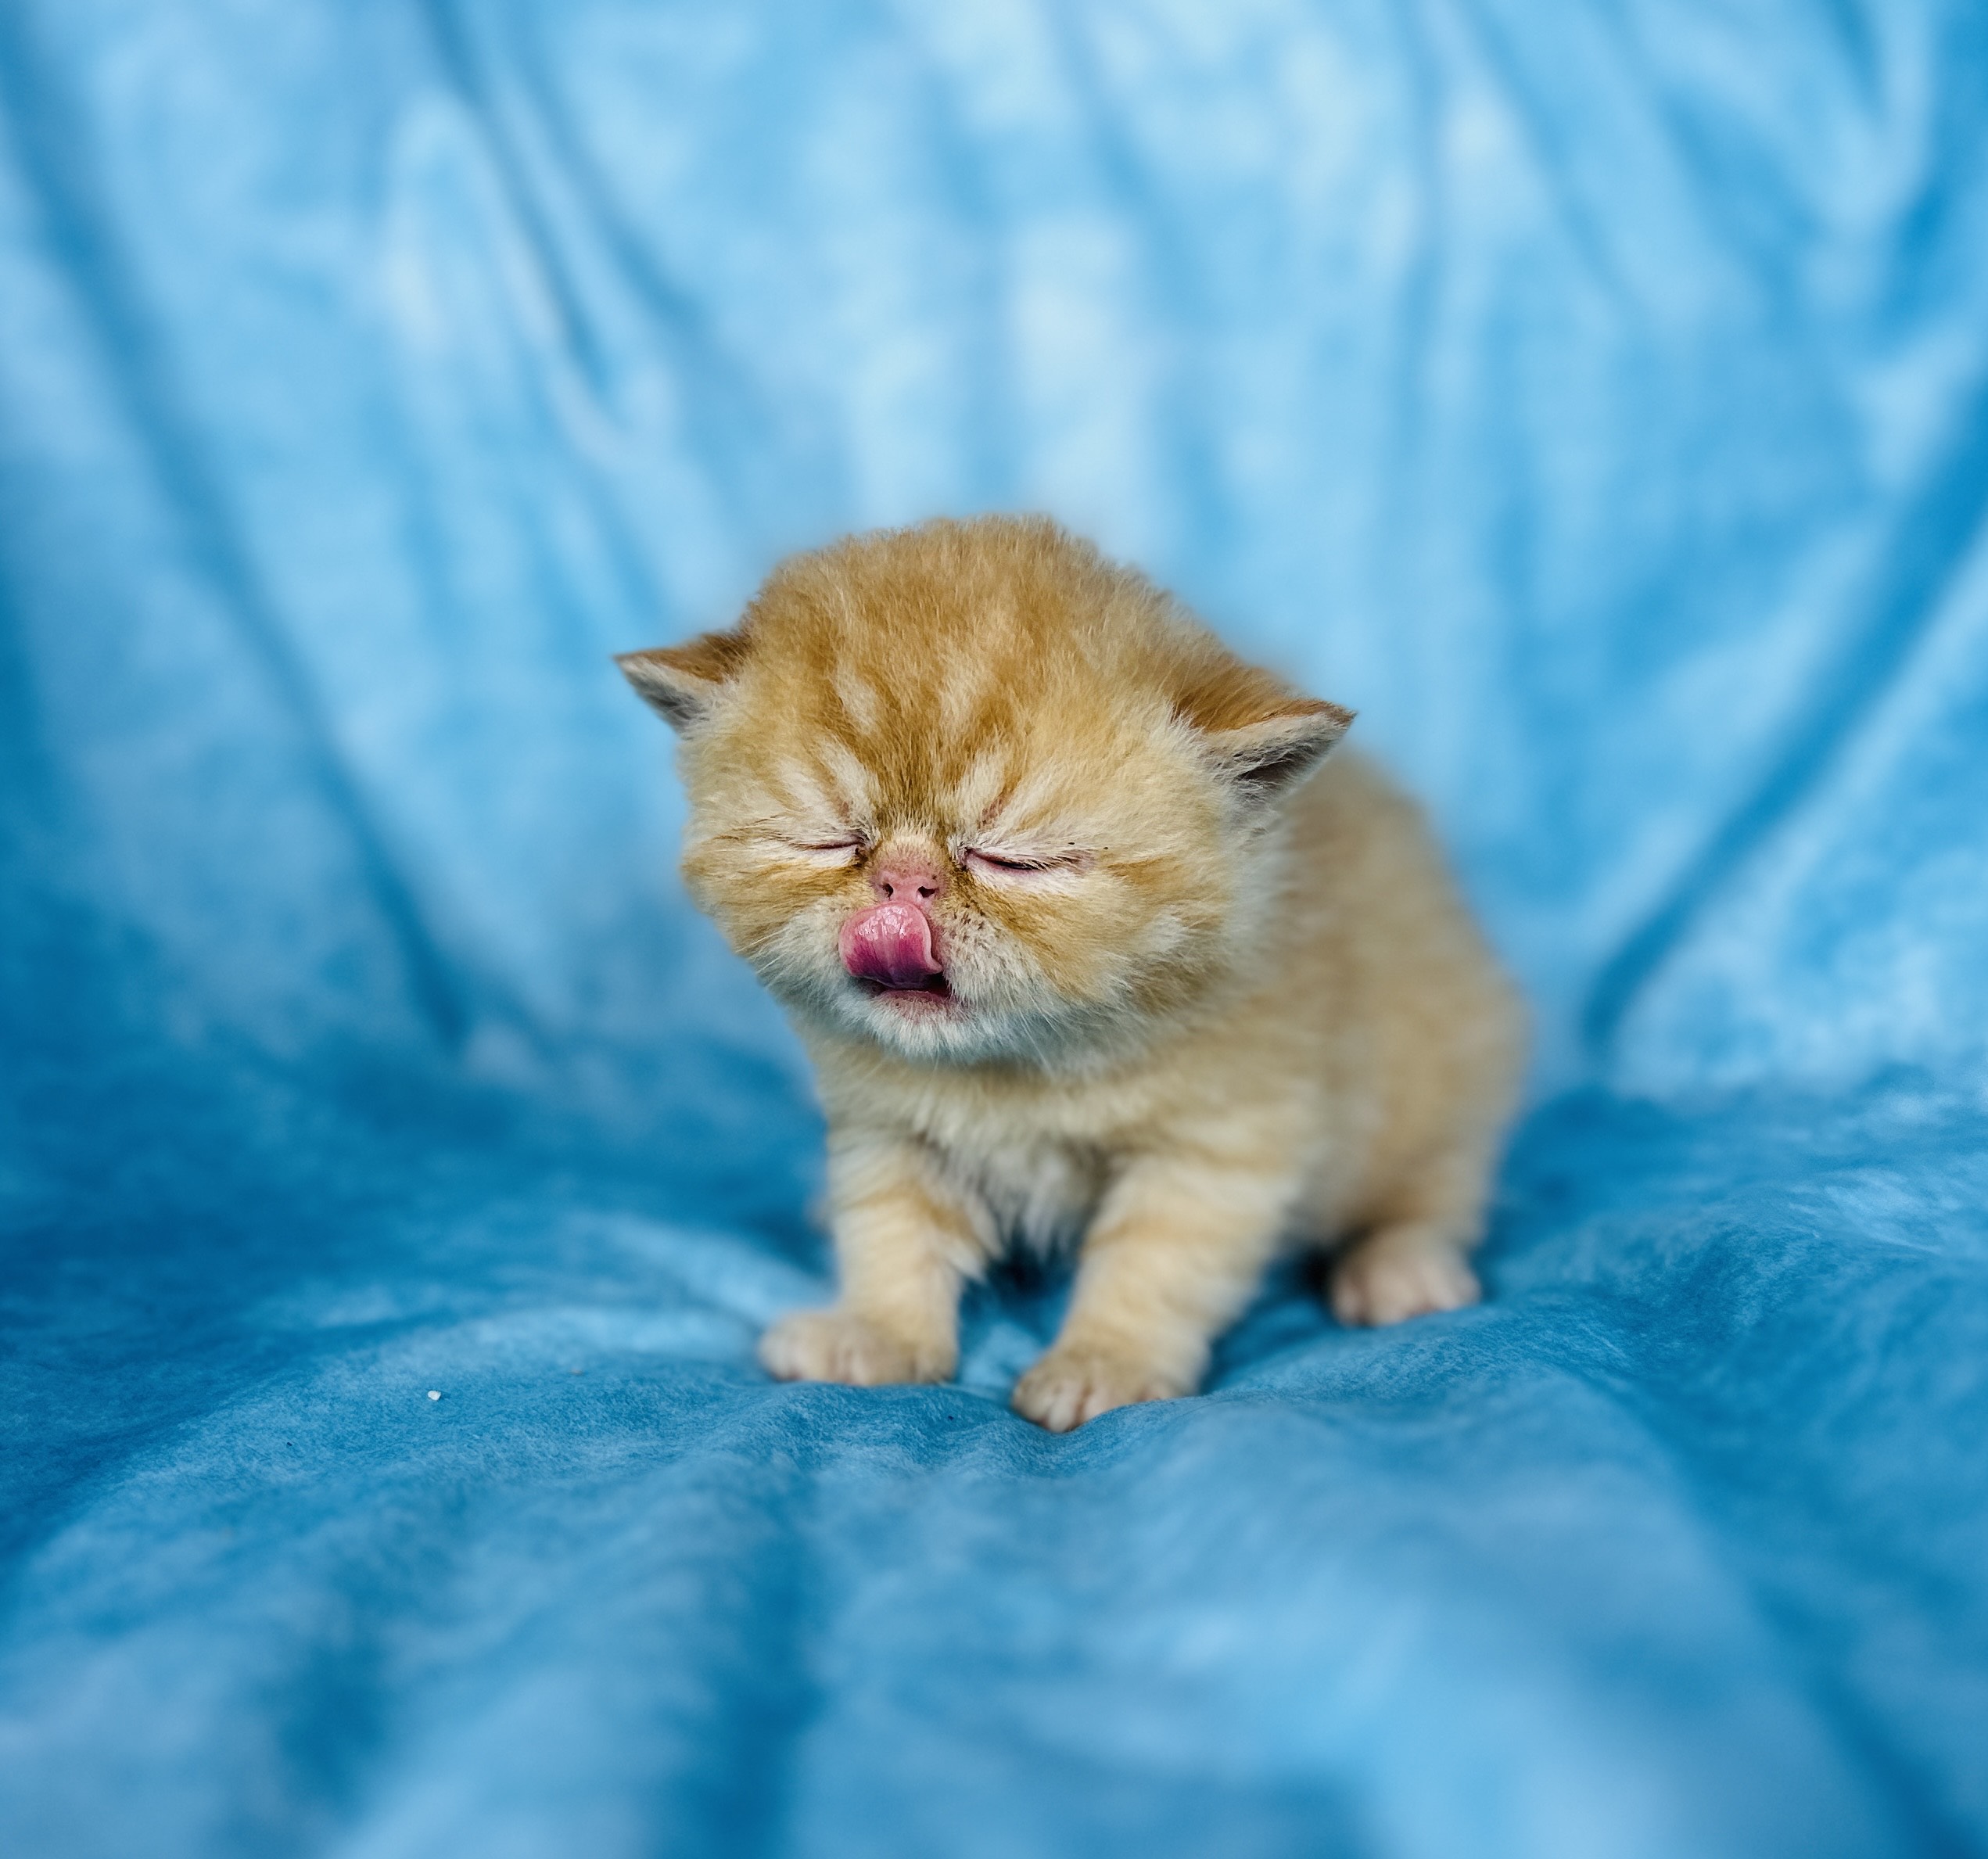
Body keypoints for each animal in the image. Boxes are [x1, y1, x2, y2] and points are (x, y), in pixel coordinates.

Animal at [620, 516, 1519, 1431]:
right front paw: (878, 1333)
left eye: (1014, 860)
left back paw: (1400, 1264)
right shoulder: (887, 1127)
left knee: (1436, 1184)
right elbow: (891, 1231)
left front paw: (1105, 1362)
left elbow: (1154, 1264)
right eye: (831, 842)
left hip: (1440, 1068)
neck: (1019, 1068)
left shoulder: (1220, 1143)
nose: (903, 882)